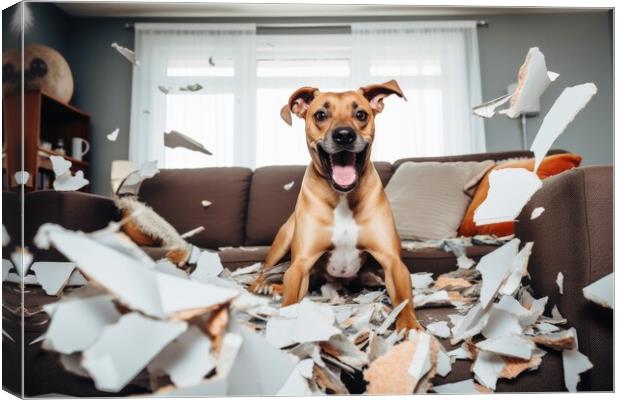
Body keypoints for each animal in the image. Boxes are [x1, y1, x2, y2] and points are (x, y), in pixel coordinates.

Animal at [252, 79, 422, 332]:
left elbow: (403, 301)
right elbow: (291, 300)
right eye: (320, 115)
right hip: (282, 243)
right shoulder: (300, 265)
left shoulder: (393, 263)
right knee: (264, 271)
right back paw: (264, 286)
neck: (343, 198)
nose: (344, 136)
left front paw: (411, 328)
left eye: (361, 114)